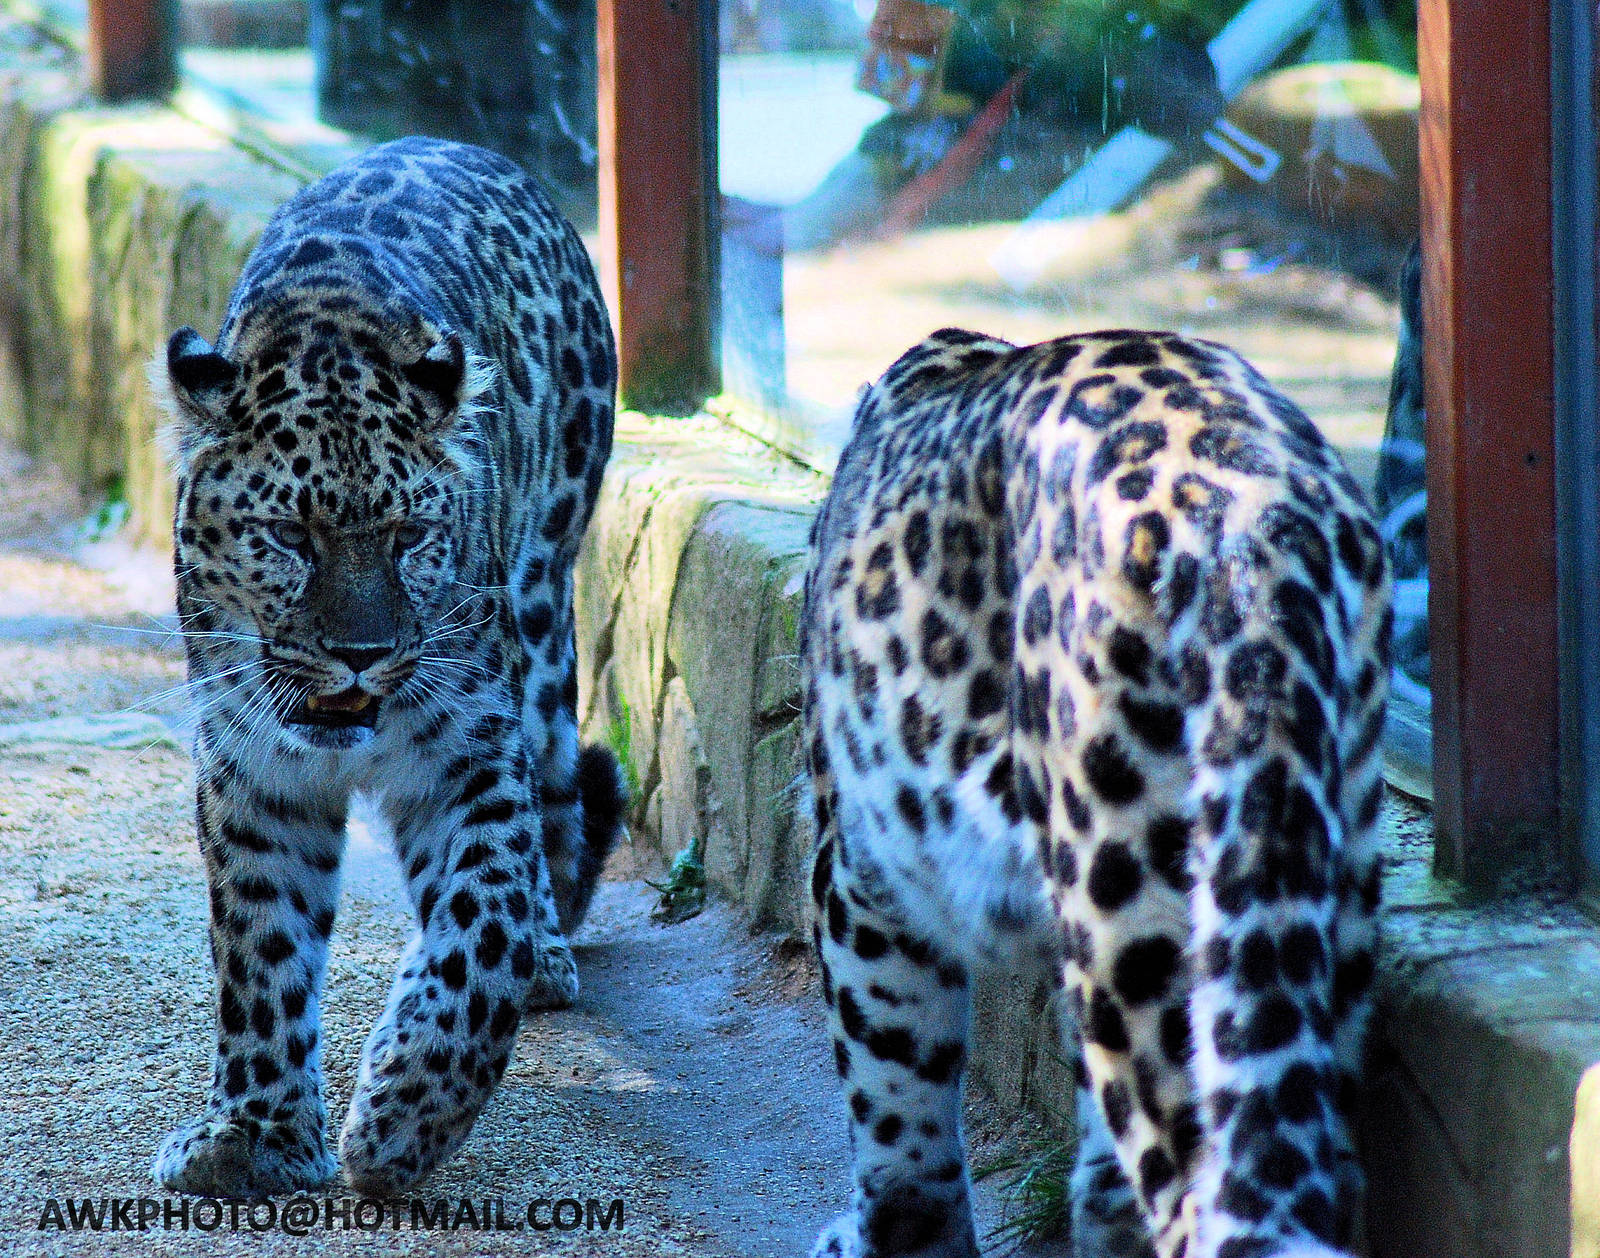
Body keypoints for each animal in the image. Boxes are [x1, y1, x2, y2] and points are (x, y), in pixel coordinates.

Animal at [150, 136, 625, 1197]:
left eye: (410, 535)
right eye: (289, 537)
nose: (361, 657)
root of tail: (464, 145)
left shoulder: (468, 756)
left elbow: (484, 925)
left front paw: (409, 1113)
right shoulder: (254, 772)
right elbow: (261, 950)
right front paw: (256, 1134)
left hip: (543, 603)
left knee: (544, 809)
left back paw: (543, 956)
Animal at [801, 326, 1390, 1258]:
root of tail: (1247, 513)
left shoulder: (860, 876)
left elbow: (894, 1100)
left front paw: (892, 1232)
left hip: (1129, 895)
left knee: (1196, 1188)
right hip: (1324, 865)